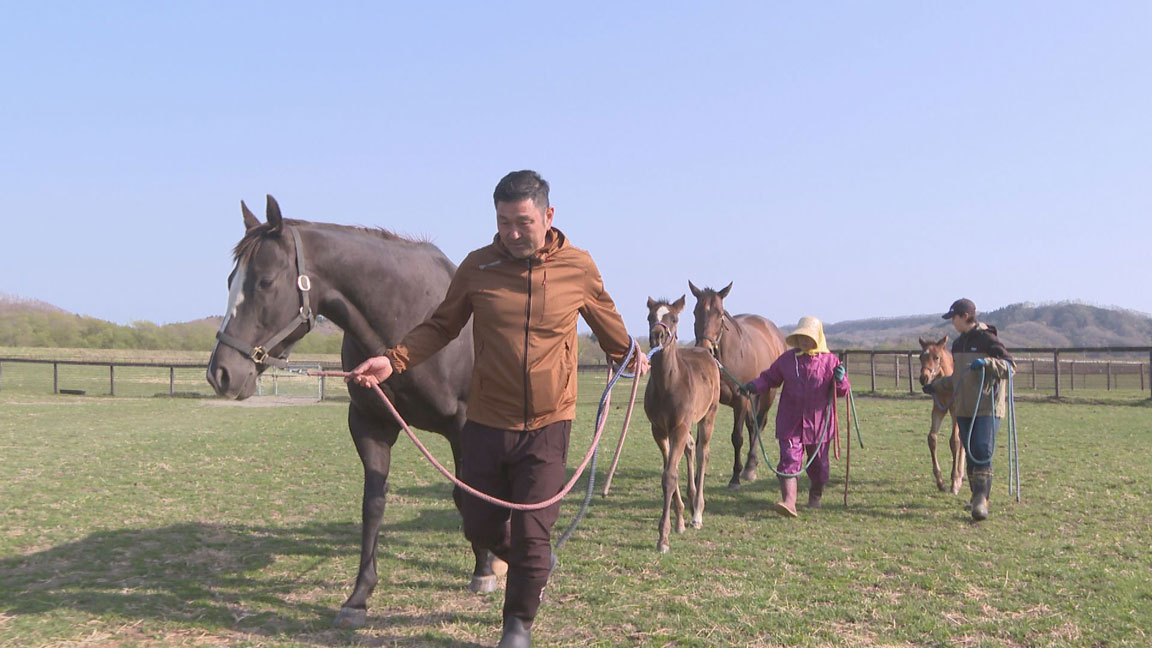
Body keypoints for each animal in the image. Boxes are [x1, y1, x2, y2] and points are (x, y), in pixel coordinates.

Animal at [207, 196, 495, 627]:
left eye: (265, 282)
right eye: (230, 281)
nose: (221, 373)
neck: (408, 318)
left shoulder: (462, 427)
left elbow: (467, 494)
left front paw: (484, 569)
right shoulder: (370, 424)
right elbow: (372, 505)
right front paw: (359, 596)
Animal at [645, 295, 714, 553]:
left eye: (673, 318)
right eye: (650, 317)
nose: (657, 335)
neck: (668, 385)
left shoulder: (679, 427)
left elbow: (670, 476)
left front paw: (663, 538)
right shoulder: (659, 430)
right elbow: (668, 472)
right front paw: (679, 520)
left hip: (707, 416)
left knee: (703, 453)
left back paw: (698, 513)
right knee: (691, 448)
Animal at [686, 280, 787, 486]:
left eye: (720, 314)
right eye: (695, 312)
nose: (705, 349)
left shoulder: (740, 400)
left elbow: (736, 438)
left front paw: (735, 477)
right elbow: (701, 441)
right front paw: (697, 477)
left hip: (767, 395)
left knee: (759, 424)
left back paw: (750, 467)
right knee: (752, 425)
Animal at [916, 334, 963, 491]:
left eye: (936, 357)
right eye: (920, 357)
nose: (923, 378)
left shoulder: (955, 411)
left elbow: (955, 441)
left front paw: (954, 480)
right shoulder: (938, 409)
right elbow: (932, 438)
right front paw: (940, 481)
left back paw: (960, 475)